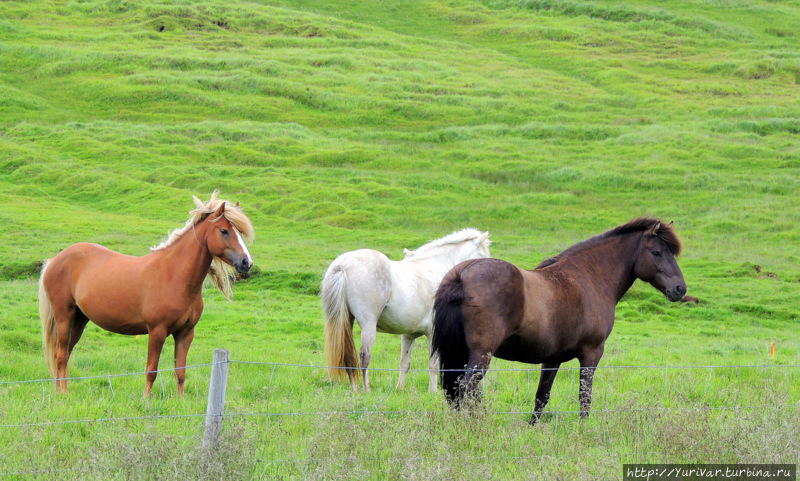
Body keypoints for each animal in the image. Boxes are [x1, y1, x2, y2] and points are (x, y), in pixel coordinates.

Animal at [37, 191, 253, 394]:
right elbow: (151, 370)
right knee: (61, 355)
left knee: (64, 354)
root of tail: (55, 260)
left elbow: (180, 372)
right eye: (224, 231)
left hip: (80, 319)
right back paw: (63, 394)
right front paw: (146, 400)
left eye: (239, 233)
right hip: (64, 316)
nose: (246, 263)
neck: (174, 276)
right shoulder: (157, 331)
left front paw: (180, 399)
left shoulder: (186, 333)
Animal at [322, 229, 490, 390]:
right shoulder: (433, 333)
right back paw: (366, 390)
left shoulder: (408, 335)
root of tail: (342, 265)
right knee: (365, 357)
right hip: (368, 326)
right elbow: (433, 365)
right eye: (483, 256)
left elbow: (404, 363)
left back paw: (355, 389)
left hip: (345, 322)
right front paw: (433, 392)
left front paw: (400, 389)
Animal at [432, 219, 688, 422]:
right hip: (480, 354)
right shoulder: (592, 353)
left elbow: (541, 397)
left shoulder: (552, 359)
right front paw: (583, 429)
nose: (680, 289)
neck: (590, 277)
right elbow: (584, 396)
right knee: (466, 388)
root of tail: (462, 274)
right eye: (656, 252)